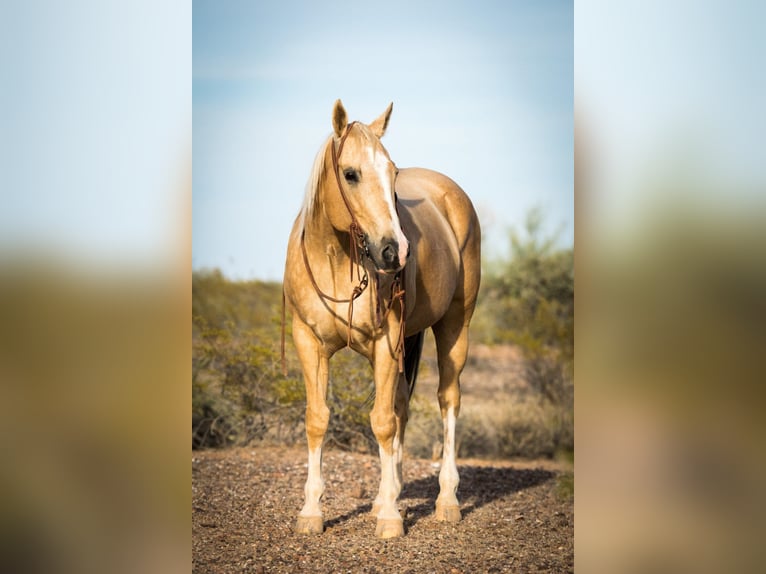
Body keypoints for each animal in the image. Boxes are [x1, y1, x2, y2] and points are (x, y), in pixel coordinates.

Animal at [284, 100, 484, 540]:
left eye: (393, 174)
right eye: (351, 174)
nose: (396, 252)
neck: (335, 258)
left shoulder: (384, 341)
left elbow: (381, 422)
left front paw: (391, 518)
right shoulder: (309, 342)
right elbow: (317, 419)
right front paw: (311, 511)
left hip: (454, 327)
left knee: (448, 400)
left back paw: (446, 500)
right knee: (401, 407)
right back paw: (384, 495)